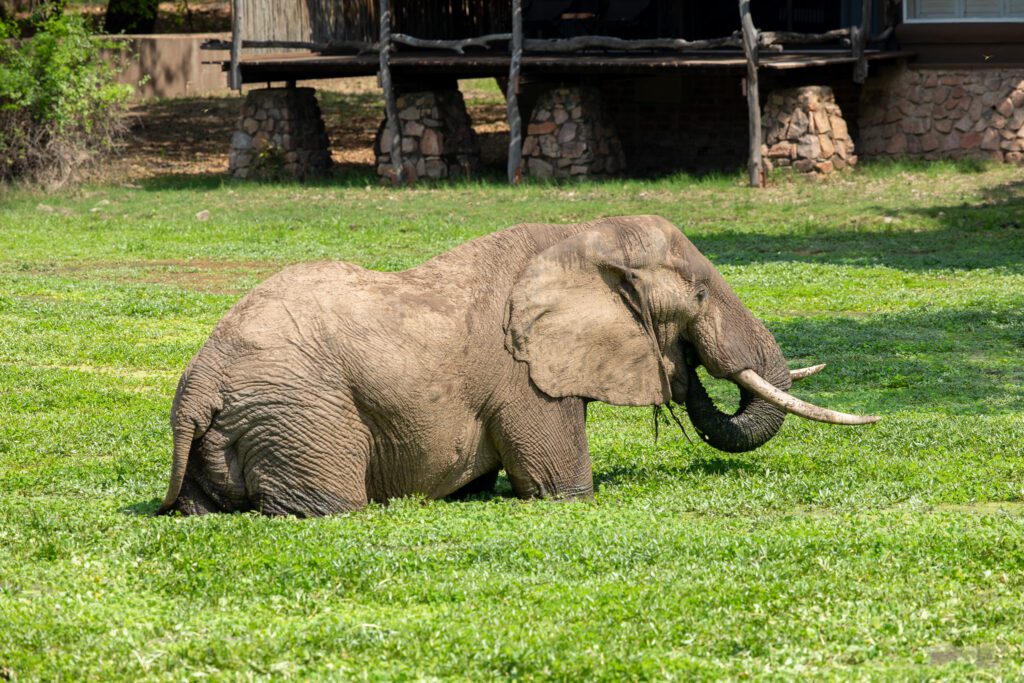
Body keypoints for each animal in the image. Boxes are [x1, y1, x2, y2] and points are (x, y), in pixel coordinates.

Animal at [155, 216, 876, 516]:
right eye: (698, 296)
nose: (683, 363)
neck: (577, 237)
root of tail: (198, 384)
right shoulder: (524, 376)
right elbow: (562, 488)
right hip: (299, 412)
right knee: (329, 507)